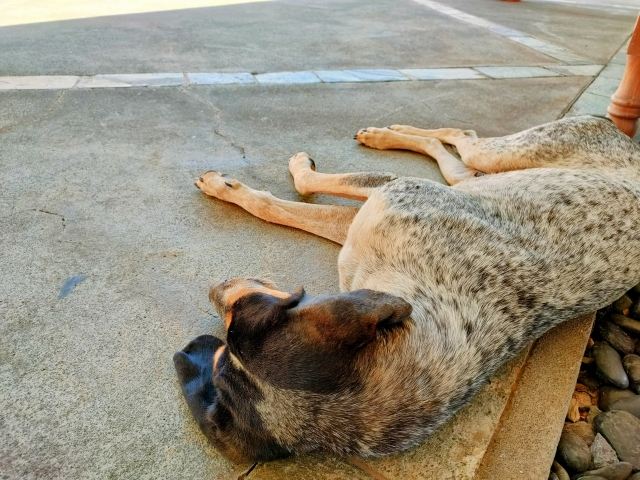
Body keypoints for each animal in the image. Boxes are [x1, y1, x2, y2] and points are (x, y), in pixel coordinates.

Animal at [172, 114, 640, 464]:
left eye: (242, 311)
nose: (215, 287)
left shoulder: (392, 194)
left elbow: (288, 196)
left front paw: (233, 184)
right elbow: (292, 205)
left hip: (508, 154)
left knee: (466, 143)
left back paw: (389, 134)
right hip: (494, 166)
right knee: (460, 151)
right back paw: (390, 133)